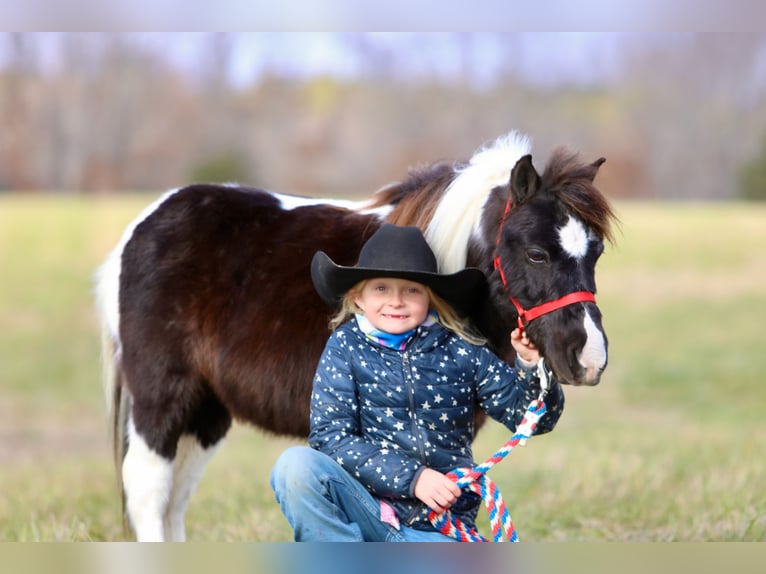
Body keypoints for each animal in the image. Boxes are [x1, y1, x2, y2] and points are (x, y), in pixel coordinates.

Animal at [95, 131, 616, 541]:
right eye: (536, 254)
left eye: (596, 254)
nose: (589, 357)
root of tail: (142, 227)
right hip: (162, 398)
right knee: (148, 491)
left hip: (206, 411)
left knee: (174, 500)